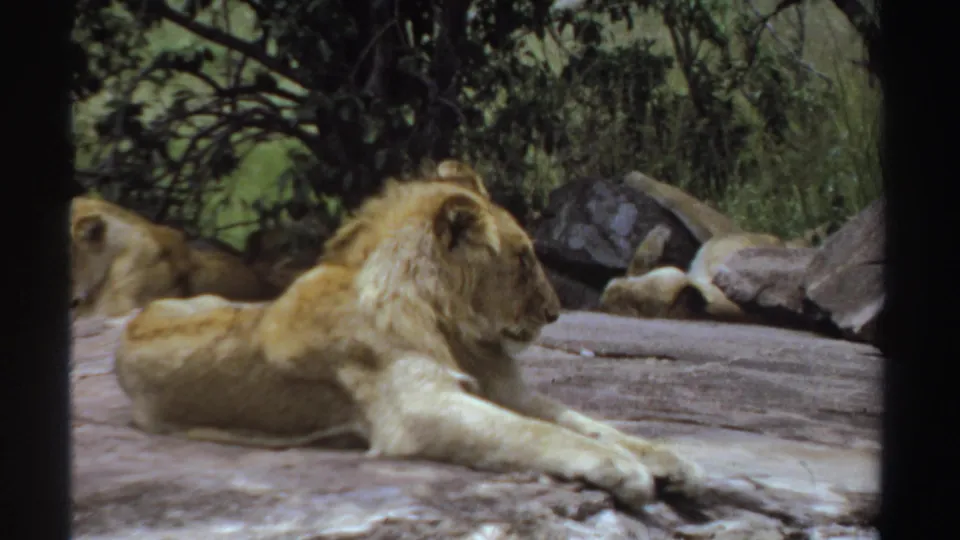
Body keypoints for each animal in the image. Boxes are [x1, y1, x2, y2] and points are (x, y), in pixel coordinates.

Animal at [114, 175, 704, 511]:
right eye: (521, 259)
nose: (555, 312)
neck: (451, 326)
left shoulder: (504, 389)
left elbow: (585, 422)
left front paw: (670, 461)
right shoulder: (418, 407)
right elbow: (535, 434)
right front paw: (625, 471)